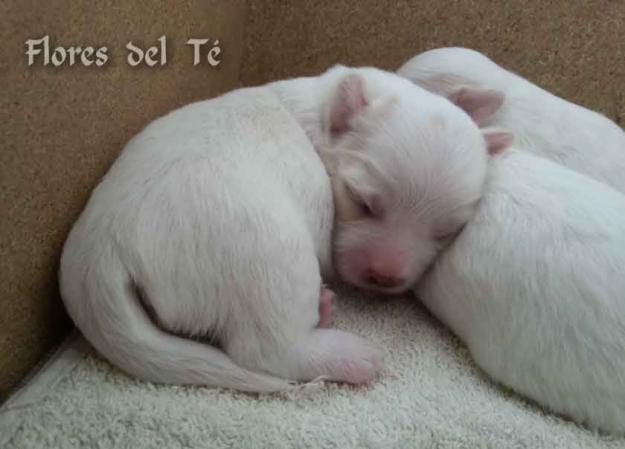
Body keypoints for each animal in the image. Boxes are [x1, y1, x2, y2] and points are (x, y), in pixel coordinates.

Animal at [58, 65, 500, 390]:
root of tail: (99, 253)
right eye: (361, 202)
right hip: (270, 251)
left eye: (445, 232)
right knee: (269, 350)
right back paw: (353, 355)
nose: (384, 277)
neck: (321, 109)